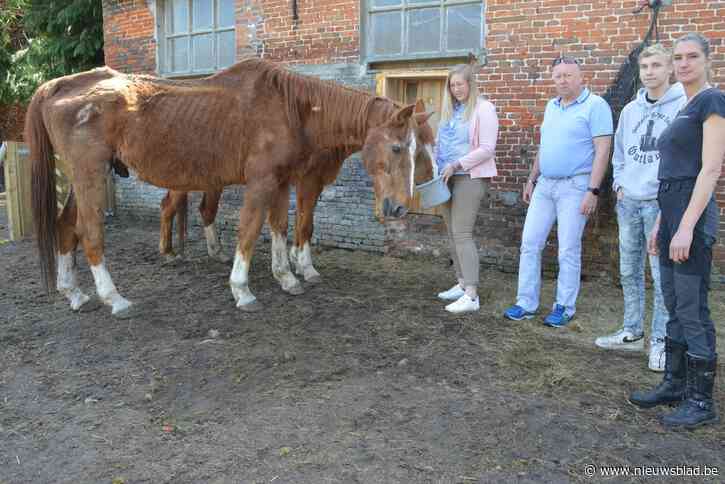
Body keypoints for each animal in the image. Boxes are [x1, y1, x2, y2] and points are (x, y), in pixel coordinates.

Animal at [155, 100, 436, 282]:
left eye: (422, 148)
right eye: (397, 148)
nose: (400, 207)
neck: (320, 127)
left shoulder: (310, 182)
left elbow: (303, 222)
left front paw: (295, 262)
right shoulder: (307, 181)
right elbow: (303, 224)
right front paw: (304, 266)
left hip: (213, 181)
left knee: (206, 210)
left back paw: (217, 252)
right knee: (168, 207)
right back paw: (168, 253)